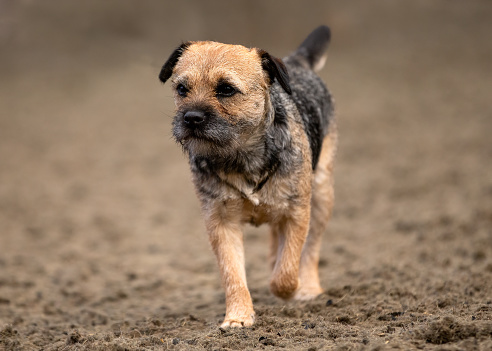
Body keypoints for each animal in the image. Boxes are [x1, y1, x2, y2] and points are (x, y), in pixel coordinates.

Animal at [160, 26, 336, 328]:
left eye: (226, 89)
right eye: (182, 88)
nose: (191, 117)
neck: (240, 157)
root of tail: (297, 62)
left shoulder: (297, 212)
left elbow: (287, 271)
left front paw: (289, 290)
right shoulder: (220, 222)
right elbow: (233, 274)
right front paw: (238, 316)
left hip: (322, 194)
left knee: (310, 248)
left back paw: (309, 288)